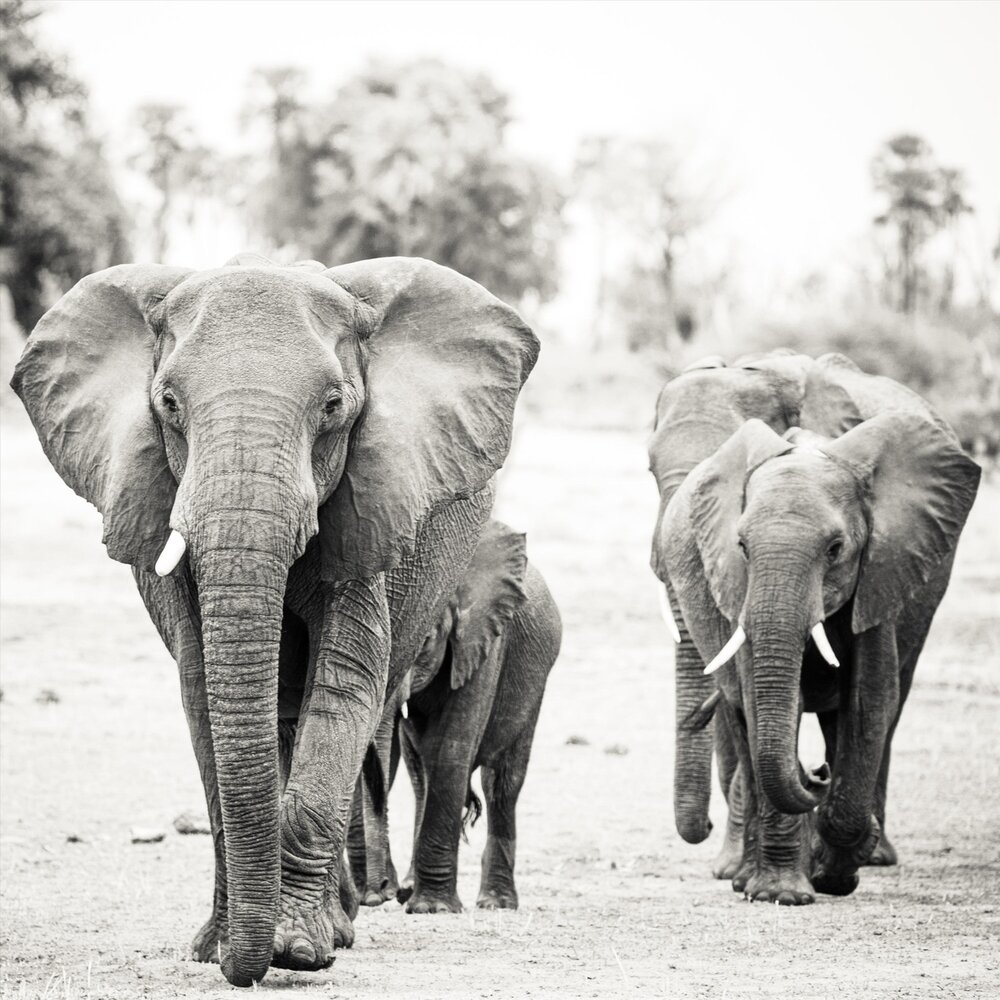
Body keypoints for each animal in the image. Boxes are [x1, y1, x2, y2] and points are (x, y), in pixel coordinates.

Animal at [11, 256, 540, 984]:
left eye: (334, 406)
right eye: (168, 404)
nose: (245, 964)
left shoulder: (370, 508)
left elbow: (347, 678)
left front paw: (298, 952)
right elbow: (202, 687)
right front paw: (215, 949)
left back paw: (338, 927)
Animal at [652, 354, 980, 908]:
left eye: (835, 549)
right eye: (741, 546)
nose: (816, 774)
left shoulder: (883, 568)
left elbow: (869, 701)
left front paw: (836, 869)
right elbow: (759, 705)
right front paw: (781, 893)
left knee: (886, 708)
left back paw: (869, 851)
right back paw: (747, 874)